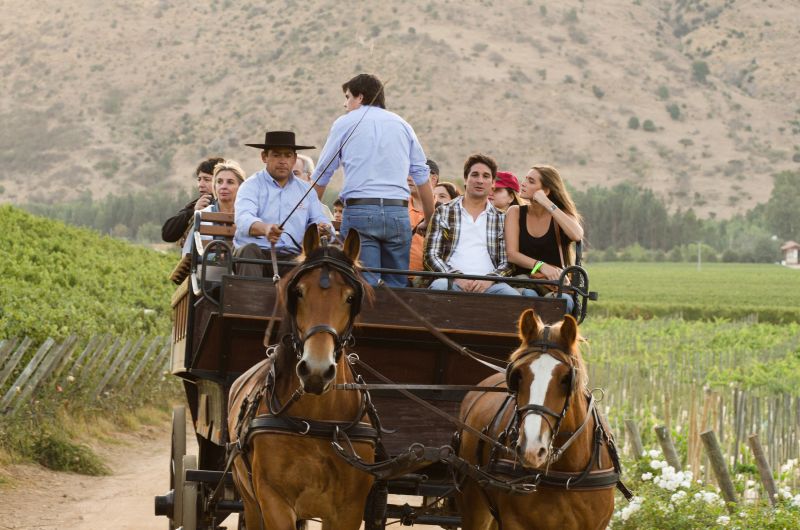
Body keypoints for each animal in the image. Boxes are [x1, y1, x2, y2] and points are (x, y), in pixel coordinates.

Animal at [225, 226, 376, 528]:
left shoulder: (350, 509)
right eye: (299, 292)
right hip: (249, 499)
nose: (316, 370)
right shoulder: (273, 500)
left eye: (350, 297)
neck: (315, 422)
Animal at [456, 310, 620, 528]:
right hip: (474, 506)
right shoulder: (514, 522)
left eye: (566, 378)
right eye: (518, 375)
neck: (565, 474)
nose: (532, 450)